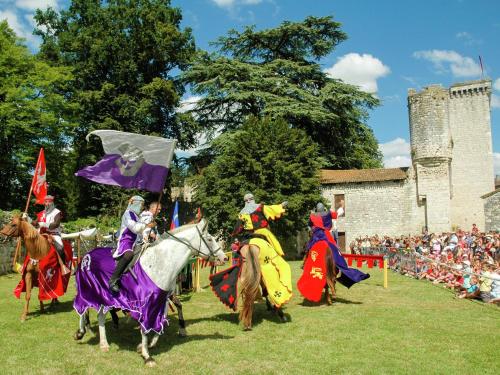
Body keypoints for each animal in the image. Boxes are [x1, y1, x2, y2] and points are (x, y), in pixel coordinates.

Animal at [72, 219, 227, 368]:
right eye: (209, 239)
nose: (224, 258)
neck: (160, 263)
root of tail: (86, 255)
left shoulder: (161, 300)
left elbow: (160, 322)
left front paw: (146, 345)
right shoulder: (146, 303)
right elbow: (145, 329)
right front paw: (147, 356)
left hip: (104, 296)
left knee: (100, 316)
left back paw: (103, 343)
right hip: (88, 290)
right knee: (83, 309)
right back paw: (81, 332)